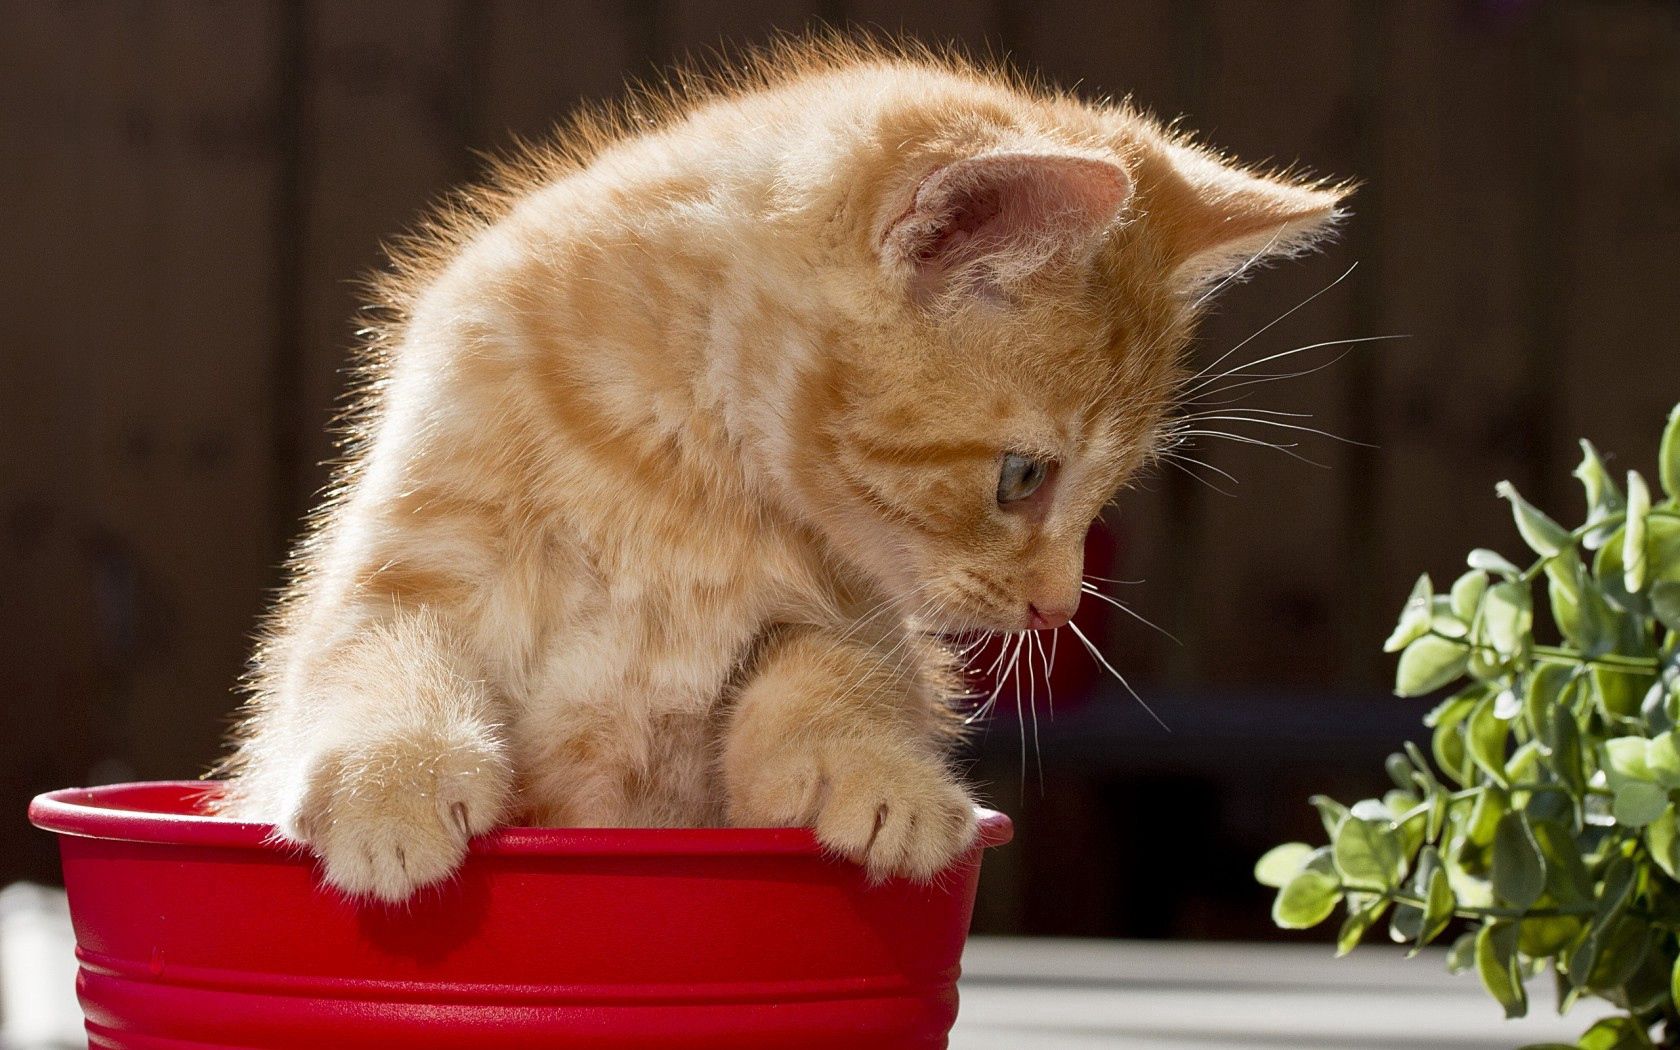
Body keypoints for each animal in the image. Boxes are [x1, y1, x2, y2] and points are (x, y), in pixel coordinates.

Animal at [216, 36, 1350, 893]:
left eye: (1106, 488)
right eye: (1024, 477)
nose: (1056, 607)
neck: (684, 477)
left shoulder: (856, 615)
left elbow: (835, 673)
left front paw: (880, 776)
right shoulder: (407, 554)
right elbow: (375, 652)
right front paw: (392, 783)